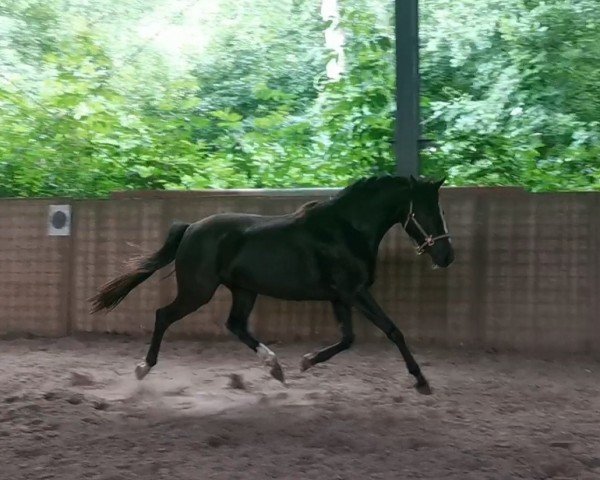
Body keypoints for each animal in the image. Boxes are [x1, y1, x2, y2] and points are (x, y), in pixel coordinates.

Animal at [91, 176, 452, 394]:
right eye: (426, 212)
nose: (446, 256)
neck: (346, 229)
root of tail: (191, 227)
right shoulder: (356, 292)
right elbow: (393, 330)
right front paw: (421, 381)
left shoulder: (341, 297)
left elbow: (347, 339)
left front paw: (307, 361)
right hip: (198, 291)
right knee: (163, 315)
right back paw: (143, 368)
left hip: (244, 290)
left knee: (235, 324)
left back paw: (275, 367)